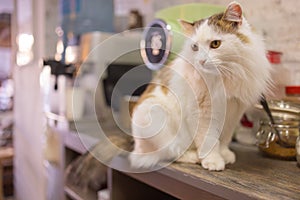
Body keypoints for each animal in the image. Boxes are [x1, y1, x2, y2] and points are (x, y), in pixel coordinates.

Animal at [129, 1, 272, 171]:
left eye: (215, 44)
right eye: (195, 47)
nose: (202, 61)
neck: (224, 78)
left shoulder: (234, 112)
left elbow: (224, 139)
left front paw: (225, 155)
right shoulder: (202, 113)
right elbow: (209, 140)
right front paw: (213, 161)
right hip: (155, 114)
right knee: (171, 152)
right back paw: (194, 157)